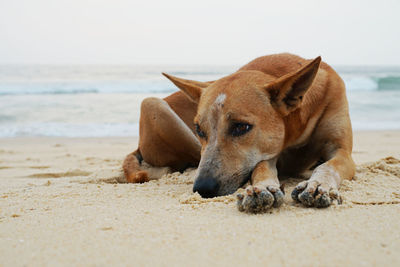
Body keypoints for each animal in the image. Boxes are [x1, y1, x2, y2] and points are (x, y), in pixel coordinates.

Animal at [123, 52, 354, 214]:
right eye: (199, 129)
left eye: (241, 127)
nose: (203, 189)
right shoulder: (269, 153)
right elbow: (260, 167)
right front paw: (263, 187)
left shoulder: (341, 150)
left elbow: (329, 165)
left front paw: (319, 185)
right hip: (153, 104)